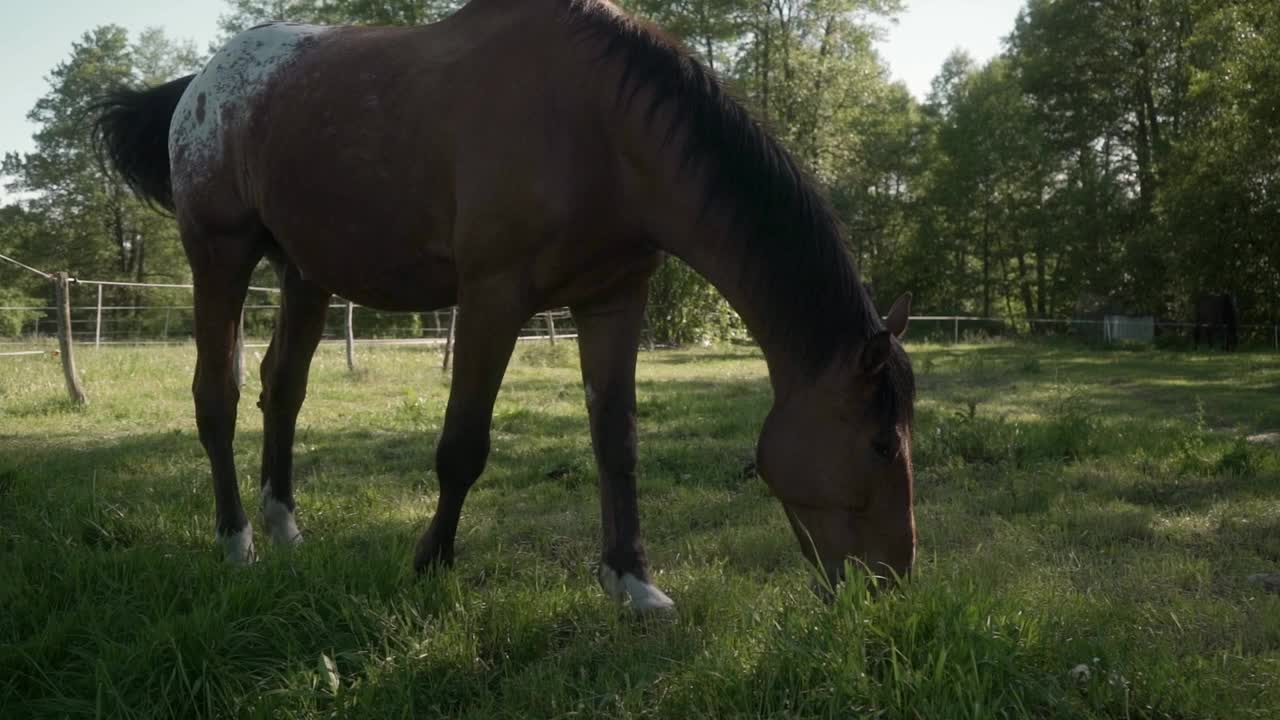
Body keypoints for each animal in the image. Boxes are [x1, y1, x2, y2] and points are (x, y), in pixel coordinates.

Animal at [94, 0, 916, 609]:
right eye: (881, 443)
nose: (891, 587)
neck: (602, 128)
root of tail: (199, 83)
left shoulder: (613, 302)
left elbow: (617, 442)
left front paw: (631, 580)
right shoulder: (492, 297)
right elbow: (462, 446)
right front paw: (430, 564)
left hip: (304, 274)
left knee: (283, 389)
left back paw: (286, 528)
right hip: (220, 254)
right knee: (218, 396)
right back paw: (237, 543)